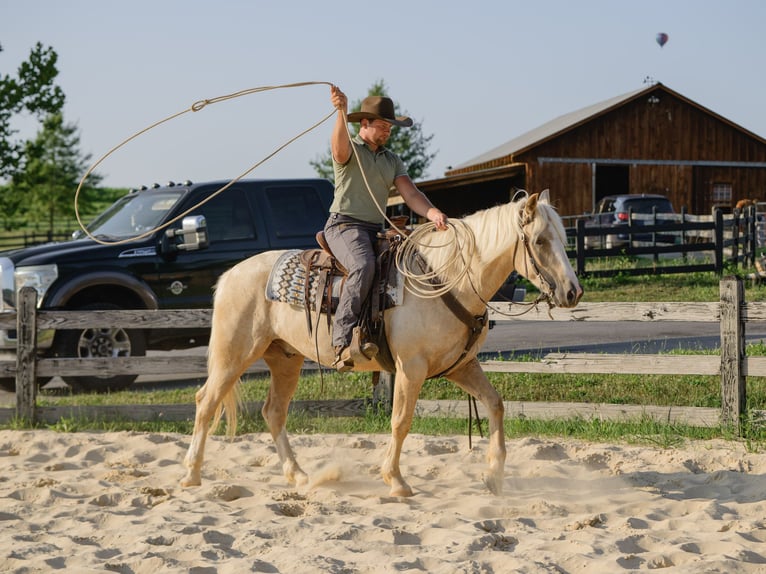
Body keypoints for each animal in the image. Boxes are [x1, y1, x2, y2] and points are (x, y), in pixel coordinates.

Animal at [180, 190, 582, 497]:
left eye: (563, 239)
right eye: (540, 241)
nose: (572, 292)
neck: (447, 279)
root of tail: (230, 275)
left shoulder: (460, 366)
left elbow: (495, 404)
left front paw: (495, 475)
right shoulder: (411, 368)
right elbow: (401, 421)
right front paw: (396, 481)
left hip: (284, 359)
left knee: (273, 412)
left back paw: (298, 475)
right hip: (233, 355)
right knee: (205, 402)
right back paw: (191, 474)